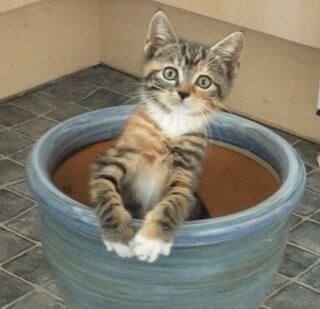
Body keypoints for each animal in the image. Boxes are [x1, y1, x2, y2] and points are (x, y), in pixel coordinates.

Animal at [89, 12, 244, 262]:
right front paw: (119, 236)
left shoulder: (186, 174)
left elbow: (175, 200)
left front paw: (152, 241)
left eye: (204, 81)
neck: (172, 124)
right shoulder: (113, 157)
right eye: (170, 73)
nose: (182, 93)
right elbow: (104, 188)